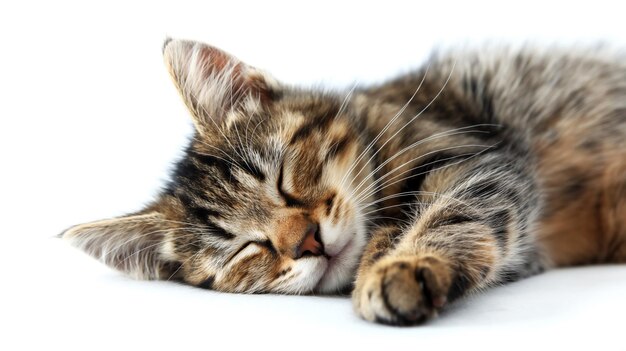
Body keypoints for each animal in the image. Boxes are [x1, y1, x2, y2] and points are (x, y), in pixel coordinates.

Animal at [61, 39, 620, 328]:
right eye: (245, 248)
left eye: (282, 179)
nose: (307, 242)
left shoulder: (478, 158)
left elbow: (450, 214)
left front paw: (404, 263)